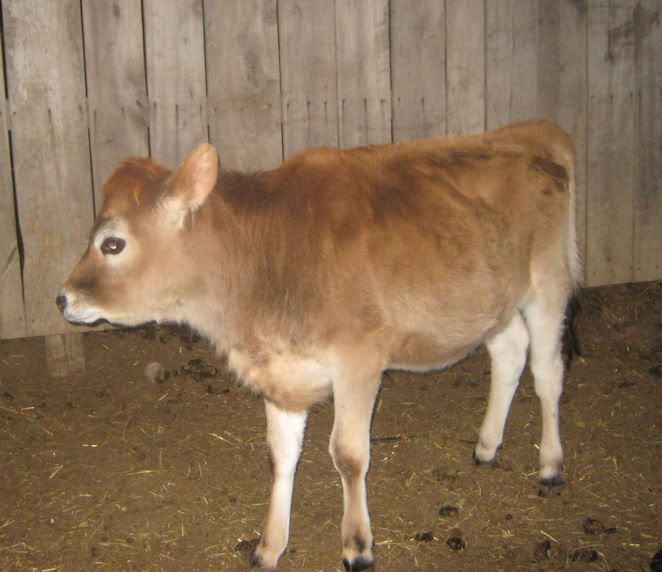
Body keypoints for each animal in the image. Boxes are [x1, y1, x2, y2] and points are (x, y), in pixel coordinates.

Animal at [57, 120, 580, 571]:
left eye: (113, 244)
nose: (62, 298)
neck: (268, 260)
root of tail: (534, 130)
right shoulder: (282, 370)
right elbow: (281, 454)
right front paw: (270, 545)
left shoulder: (359, 361)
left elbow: (348, 454)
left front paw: (357, 546)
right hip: (491, 301)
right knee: (510, 353)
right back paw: (487, 446)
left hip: (547, 281)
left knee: (548, 372)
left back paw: (551, 466)